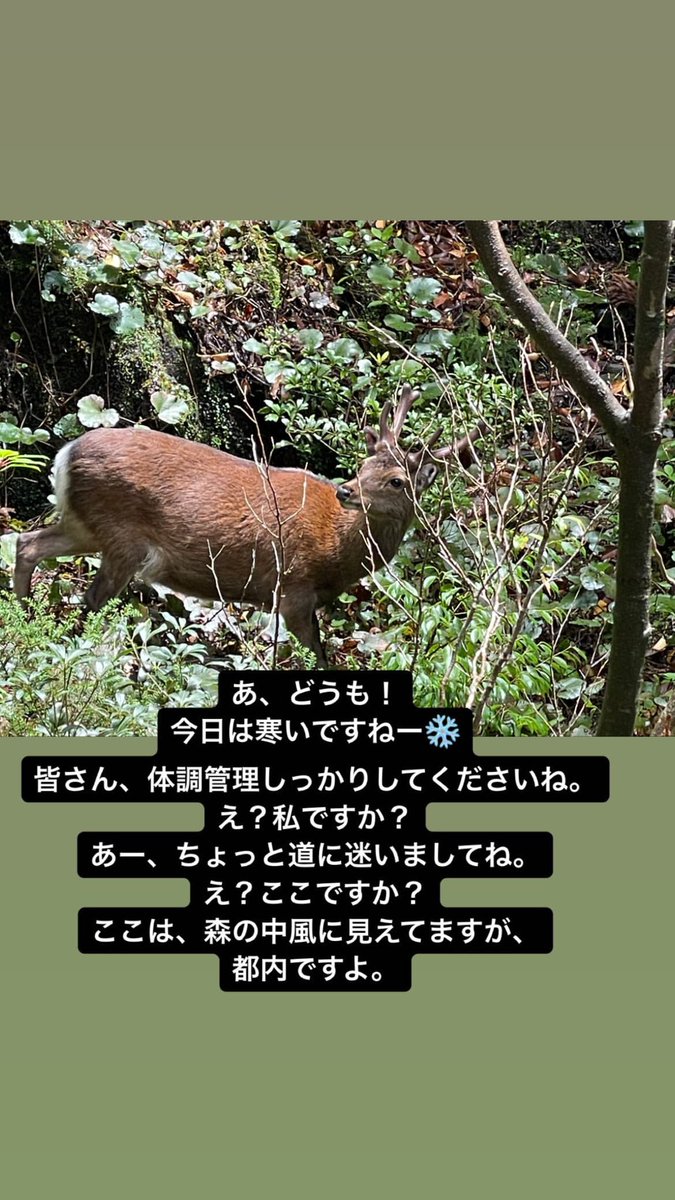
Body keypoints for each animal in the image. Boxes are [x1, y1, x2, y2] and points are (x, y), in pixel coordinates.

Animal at [13, 385, 482, 666]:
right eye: (364, 466)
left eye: (396, 480)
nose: (346, 491)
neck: (336, 550)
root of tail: (66, 454)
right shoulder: (292, 588)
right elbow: (317, 655)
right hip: (120, 536)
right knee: (91, 598)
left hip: (85, 524)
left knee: (26, 542)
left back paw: (24, 615)